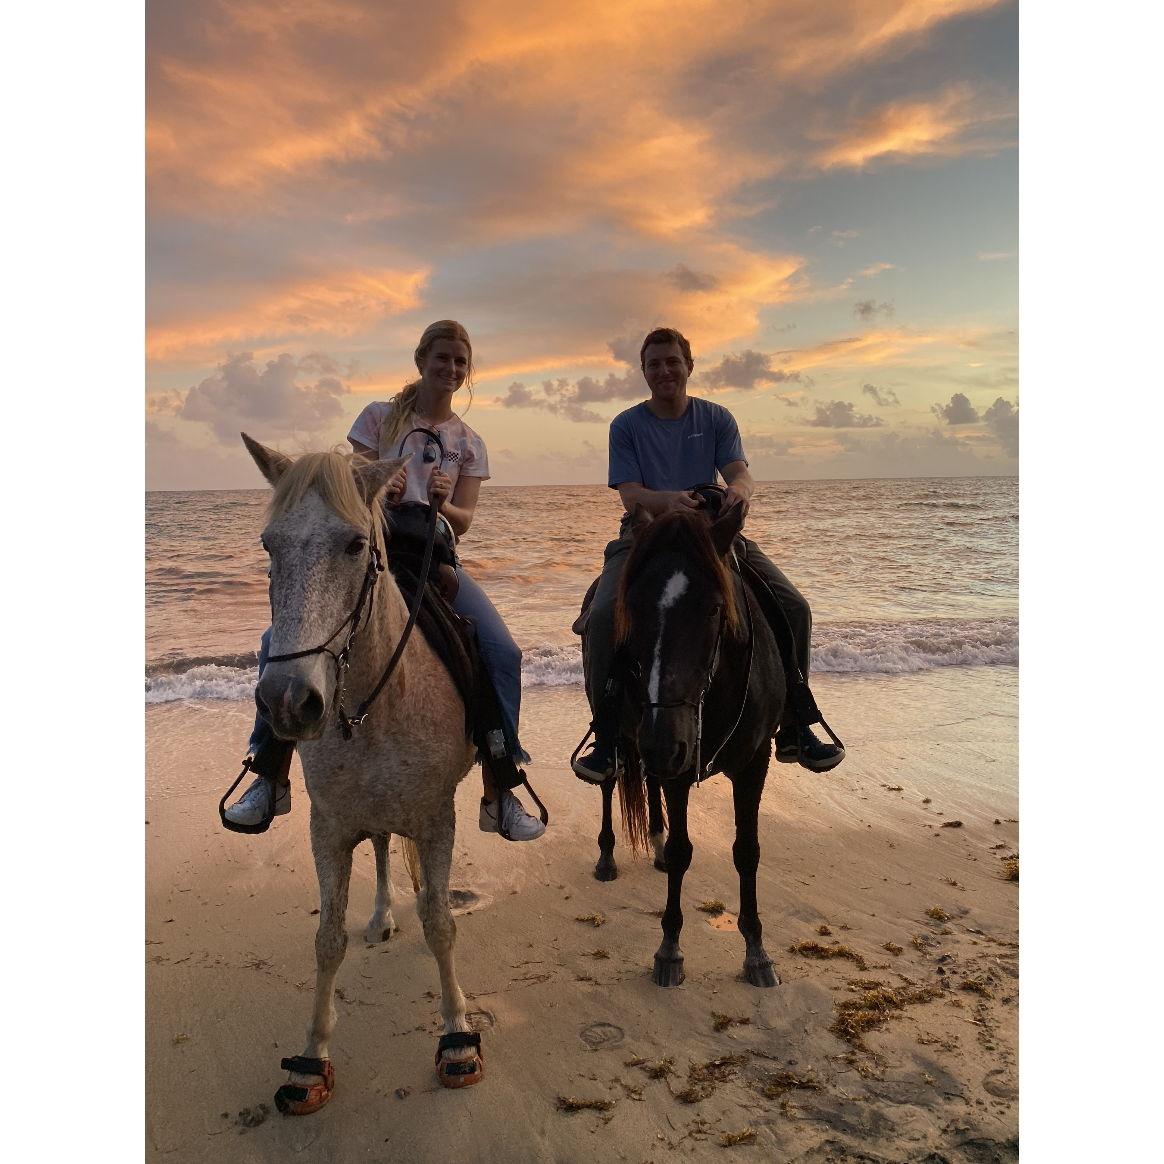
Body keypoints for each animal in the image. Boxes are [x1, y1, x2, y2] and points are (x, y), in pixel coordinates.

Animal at [245, 433, 481, 1112]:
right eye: (269, 546)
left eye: (355, 545)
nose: (287, 701)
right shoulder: (329, 827)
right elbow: (327, 940)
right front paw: (310, 1059)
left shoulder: (435, 818)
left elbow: (441, 925)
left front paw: (457, 1036)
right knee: (378, 847)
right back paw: (380, 916)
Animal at [609, 505, 782, 987]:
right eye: (633, 606)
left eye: (713, 608)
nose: (662, 744)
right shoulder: (679, 766)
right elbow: (684, 851)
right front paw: (669, 950)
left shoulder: (753, 763)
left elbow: (747, 851)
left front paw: (756, 951)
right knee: (610, 781)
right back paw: (607, 858)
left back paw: (654, 838)